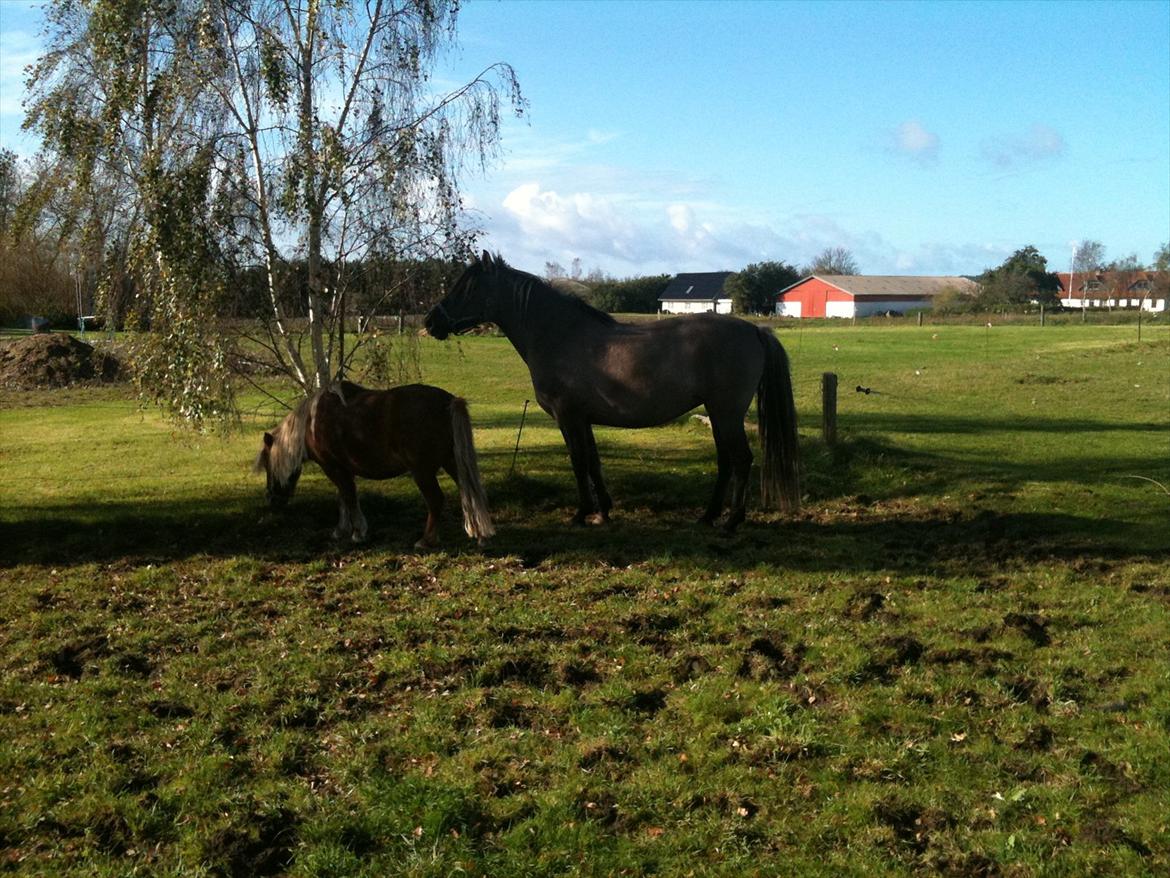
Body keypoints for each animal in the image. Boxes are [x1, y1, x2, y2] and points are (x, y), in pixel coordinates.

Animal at [253, 381, 496, 547]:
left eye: (268, 466)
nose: (272, 501)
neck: (312, 423)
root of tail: (449, 402)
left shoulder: (332, 467)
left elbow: (349, 497)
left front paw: (358, 533)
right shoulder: (343, 469)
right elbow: (344, 498)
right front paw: (342, 530)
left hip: (423, 472)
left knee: (436, 500)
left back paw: (426, 540)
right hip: (452, 462)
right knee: (470, 493)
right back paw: (480, 536)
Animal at [425, 250, 800, 533]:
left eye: (467, 287)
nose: (431, 322)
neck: (559, 335)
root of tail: (754, 329)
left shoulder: (567, 416)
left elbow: (578, 462)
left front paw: (581, 513)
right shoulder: (584, 419)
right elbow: (593, 461)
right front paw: (603, 510)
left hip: (727, 412)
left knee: (741, 459)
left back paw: (732, 521)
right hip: (718, 413)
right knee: (726, 460)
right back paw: (708, 516)